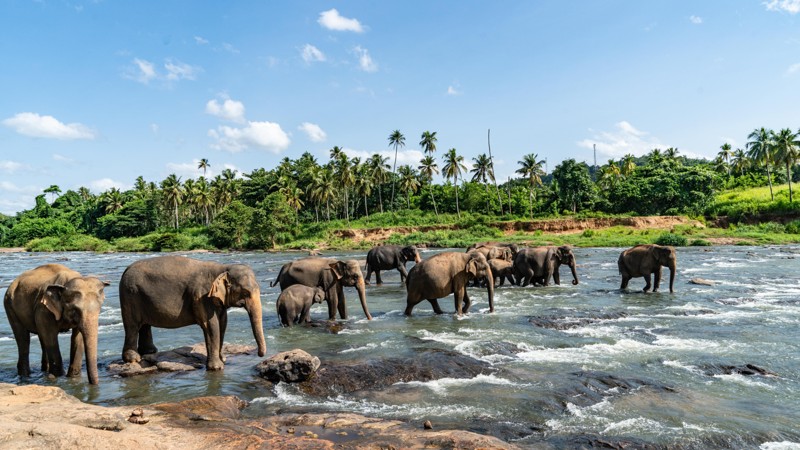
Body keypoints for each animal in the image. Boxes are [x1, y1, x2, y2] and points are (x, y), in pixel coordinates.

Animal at [119, 255, 268, 370]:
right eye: (246, 292)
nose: (260, 354)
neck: (223, 268)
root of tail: (126, 269)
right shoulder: (202, 296)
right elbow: (211, 326)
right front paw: (217, 367)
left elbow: (223, 324)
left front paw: (223, 359)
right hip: (130, 295)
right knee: (132, 326)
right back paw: (134, 359)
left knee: (144, 325)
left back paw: (149, 351)